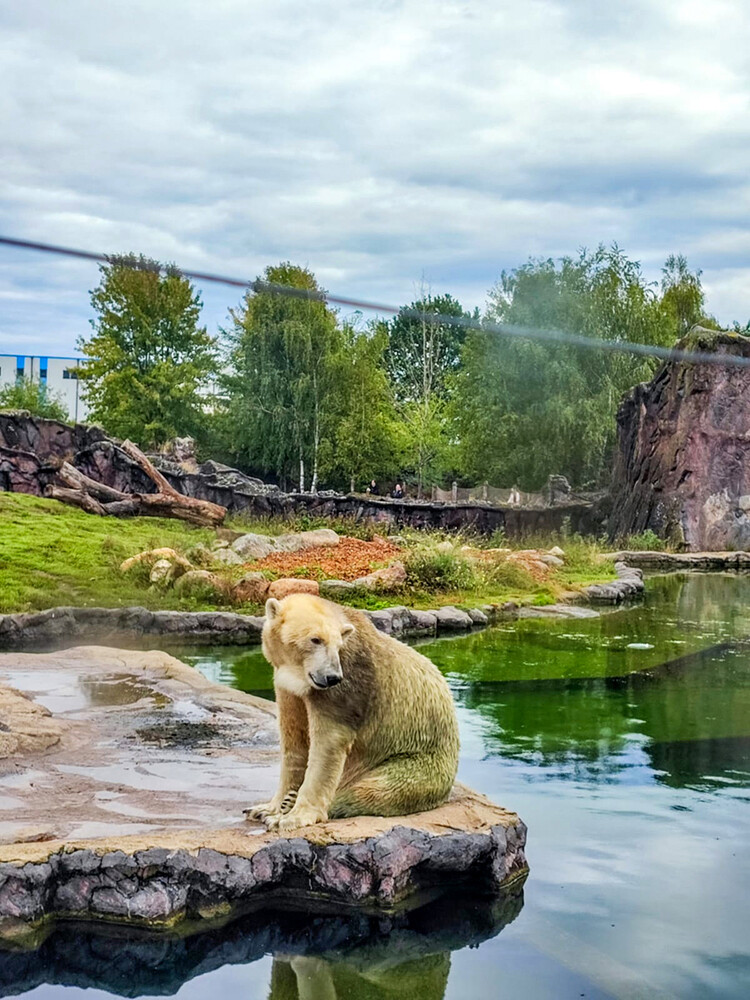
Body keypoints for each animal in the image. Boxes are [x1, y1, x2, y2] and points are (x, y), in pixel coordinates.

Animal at [248, 588, 458, 832]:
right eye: (315, 639)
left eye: (338, 645)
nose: (332, 677)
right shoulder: (288, 688)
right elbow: (294, 740)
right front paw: (266, 808)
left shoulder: (349, 679)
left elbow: (328, 742)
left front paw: (292, 817)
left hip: (415, 761)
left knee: (376, 788)